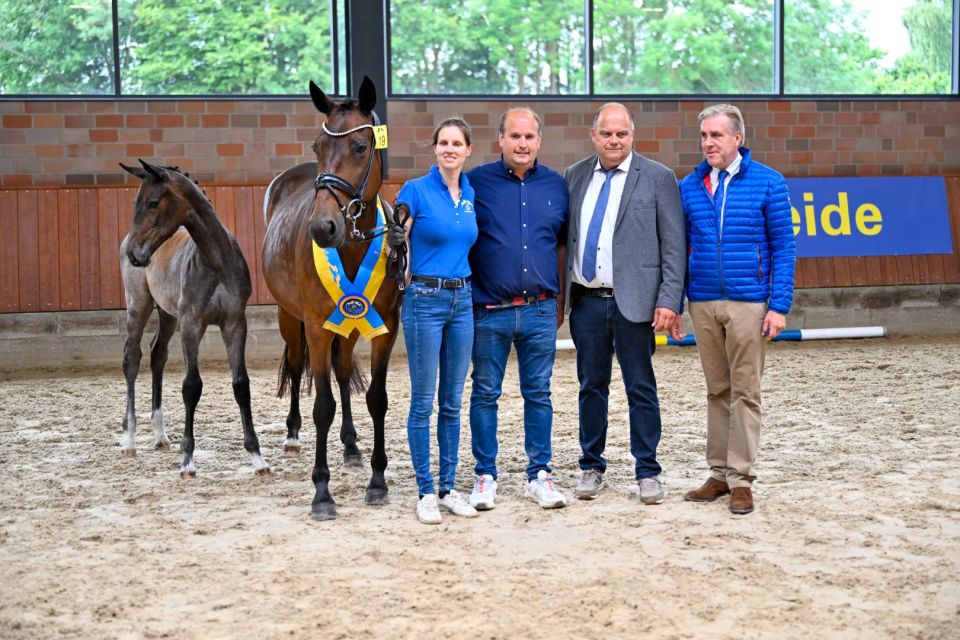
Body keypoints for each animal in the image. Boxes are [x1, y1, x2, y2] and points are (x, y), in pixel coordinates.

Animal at [121, 160, 270, 478]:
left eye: (152, 203)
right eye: (135, 202)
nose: (134, 254)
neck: (215, 261)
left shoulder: (234, 324)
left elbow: (241, 385)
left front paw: (258, 458)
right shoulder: (192, 325)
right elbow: (191, 386)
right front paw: (187, 460)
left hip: (167, 314)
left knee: (157, 354)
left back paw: (160, 435)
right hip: (138, 305)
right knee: (131, 357)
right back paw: (129, 440)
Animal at [262, 77, 402, 524]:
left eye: (359, 147)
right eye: (317, 146)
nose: (322, 227)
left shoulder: (386, 327)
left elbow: (376, 398)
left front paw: (377, 481)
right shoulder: (316, 328)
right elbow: (322, 405)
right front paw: (321, 493)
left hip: (351, 324)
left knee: (342, 372)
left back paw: (351, 444)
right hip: (290, 319)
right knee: (295, 365)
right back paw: (292, 434)